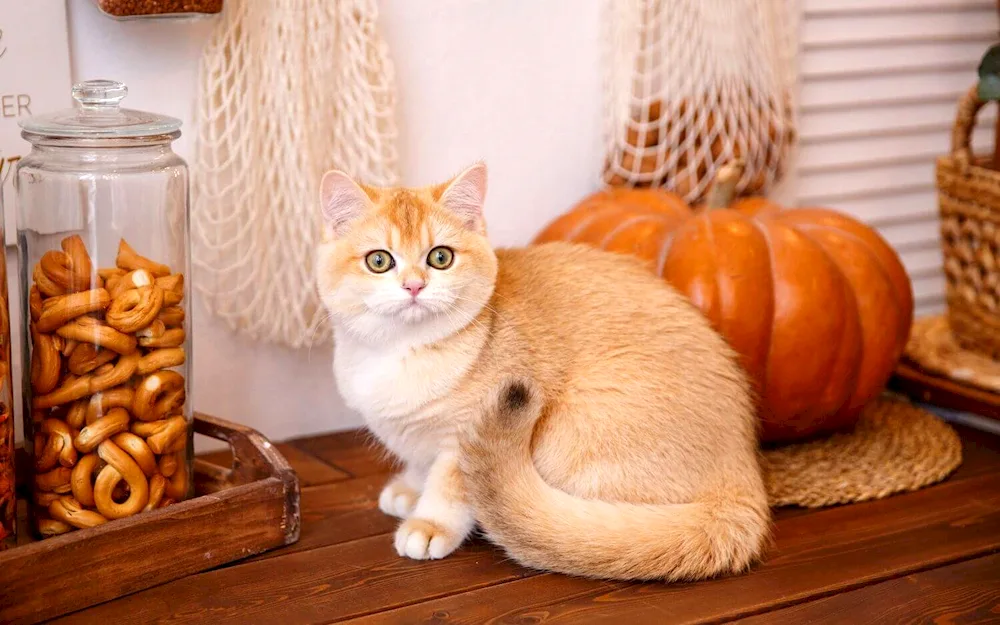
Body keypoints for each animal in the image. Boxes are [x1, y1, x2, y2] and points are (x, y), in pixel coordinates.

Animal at [316, 162, 768, 580]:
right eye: (379, 261)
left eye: (440, 257)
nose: (414, 286)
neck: (402, 351)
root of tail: (743, 479)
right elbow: (421, 464)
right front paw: (410, 487)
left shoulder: (464, 434)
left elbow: (450, 485)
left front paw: (430, 524)